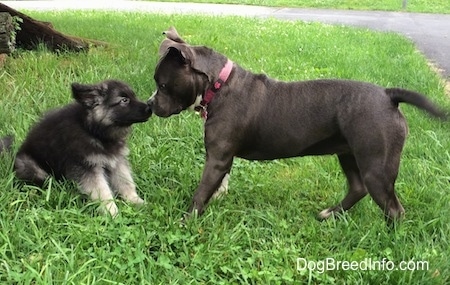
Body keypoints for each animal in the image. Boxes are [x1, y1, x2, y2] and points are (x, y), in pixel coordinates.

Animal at [14, 79, 152, 216]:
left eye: (133, 96)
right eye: (124, 100)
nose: (150, 108)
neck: (92, 130)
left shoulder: (117, 161)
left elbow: (126, 182)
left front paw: (136, 201)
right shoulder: (87, 167)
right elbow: (102, 190)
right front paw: (111, 212)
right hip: (29, 166)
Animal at [149, 26, 446, 222]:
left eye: (162, 85)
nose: (151, 104)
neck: (218, 85)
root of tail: (388, 95)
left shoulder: (217, 159)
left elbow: (200, 193)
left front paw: (186, 222)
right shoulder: (222, 159)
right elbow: (216, 187)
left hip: (376, 166)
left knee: (393, 209)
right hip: (348, 154)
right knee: (358, 188)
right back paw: (330, 214)